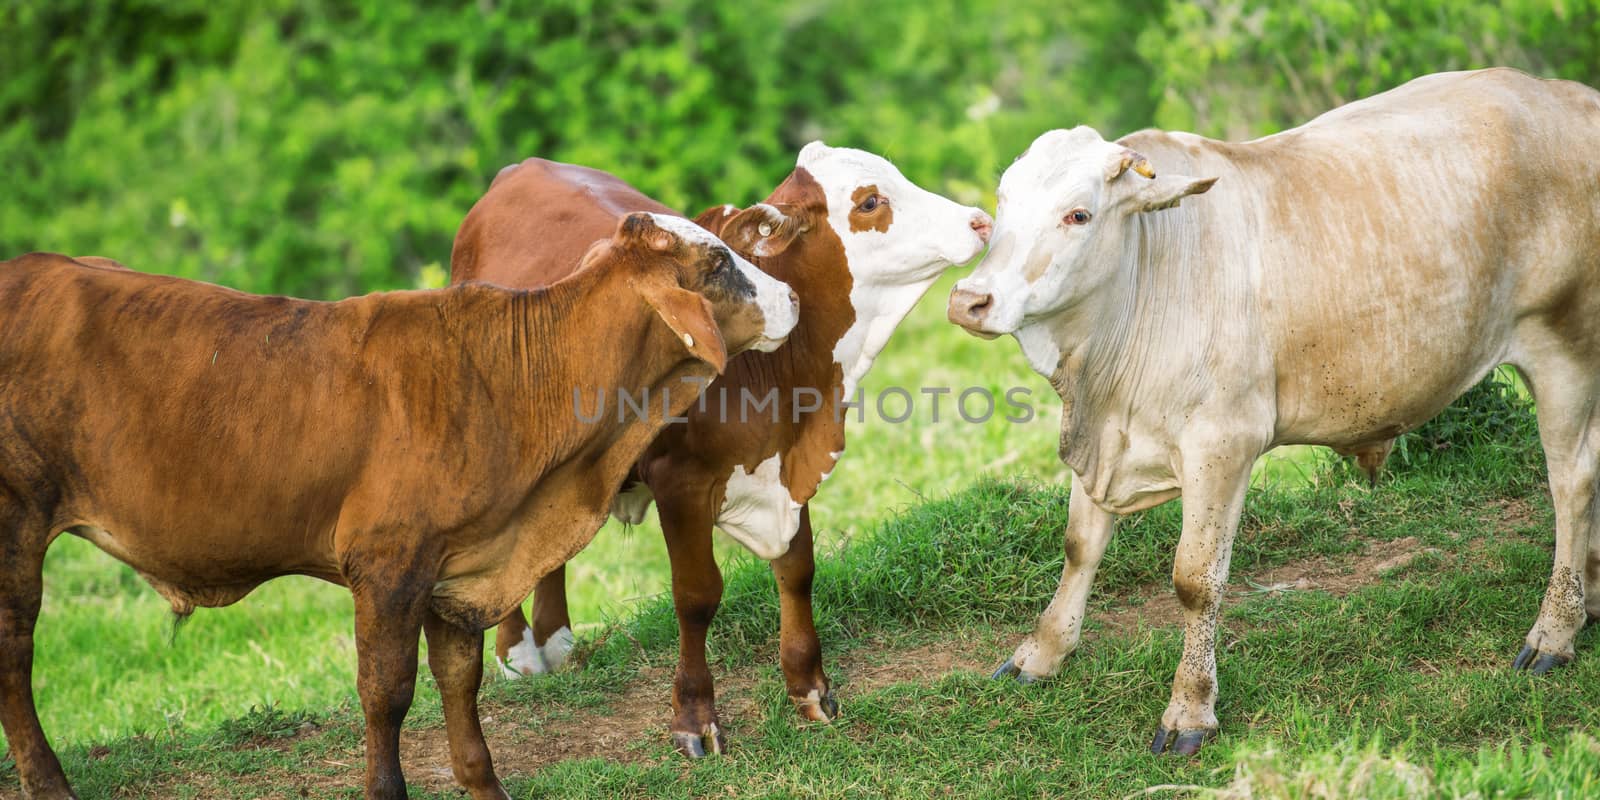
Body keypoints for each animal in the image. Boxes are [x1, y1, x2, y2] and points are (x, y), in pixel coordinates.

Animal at [0, 209, 796, 796]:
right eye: (717, 263)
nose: (791, 297)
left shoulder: (460, 569)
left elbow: (459, 681)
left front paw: (484, 785)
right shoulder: (387, 568)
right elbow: (387, 694)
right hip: (15, 527)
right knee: (14, 654)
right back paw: (49, 782)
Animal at [451, 145, 992, 755]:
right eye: (870, 201)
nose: (979, 221)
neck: (782, 375)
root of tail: (521, 168)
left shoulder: (787, 466)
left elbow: (798, 570)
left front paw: (809, 688)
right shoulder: (679, 482)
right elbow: (697, 596)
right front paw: (695, 716)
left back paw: (558, 640)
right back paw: (518, 651)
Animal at [947, 70, 1600, 755]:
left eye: (1079, 214)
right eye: (1002, 201)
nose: (969, 300)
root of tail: (1571, 95)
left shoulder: (1222, 444)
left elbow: (1195, 579)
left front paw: (1190, 709)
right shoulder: (1108, 440)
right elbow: (1079, 545)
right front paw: (1042, 653)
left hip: (1565, 345)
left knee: (1573, 480)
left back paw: (1555, 630)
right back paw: (1591, 595)